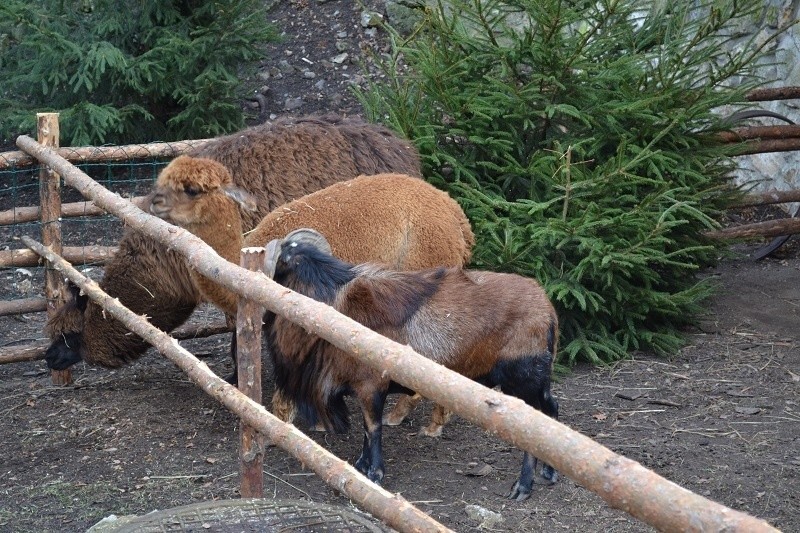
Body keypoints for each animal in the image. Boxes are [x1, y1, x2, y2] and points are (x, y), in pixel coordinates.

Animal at [148, 156, 476, 430]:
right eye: (163, 179)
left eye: (191, 189)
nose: (153, 201)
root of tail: (454, 212)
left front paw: (284, 425)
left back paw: (413, 418)